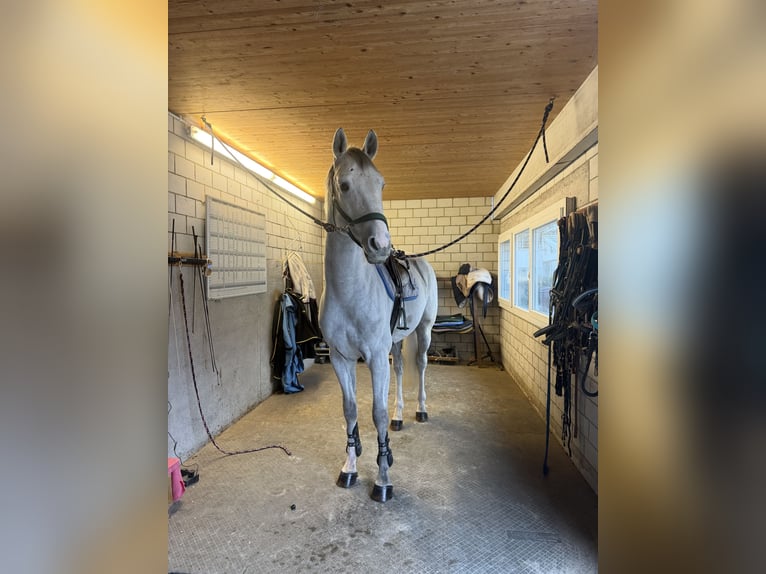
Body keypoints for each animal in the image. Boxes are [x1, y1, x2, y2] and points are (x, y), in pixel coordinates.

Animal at [318, 128, 438, 502]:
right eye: (344, 185)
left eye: (381, 184)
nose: (380, 246)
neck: (349, 291)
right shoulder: (342, 358)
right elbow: (351, 409)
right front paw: (350, 466)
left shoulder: (374, 357)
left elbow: (377, 413)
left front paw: (383, 479)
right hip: (396, 342)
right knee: (399, 369)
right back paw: (402, 416)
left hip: (424, 331)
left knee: (421, 366)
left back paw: (420, 410)